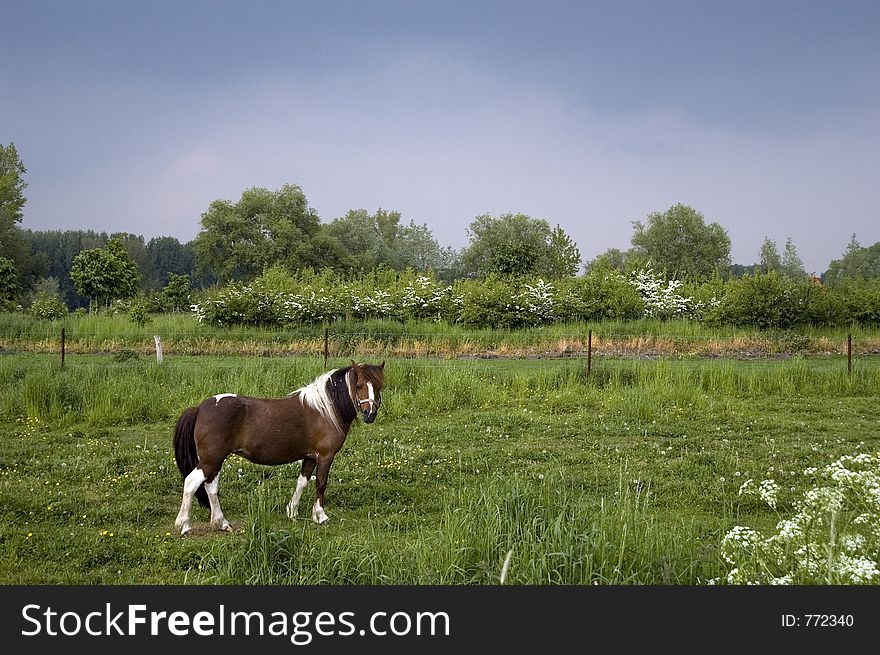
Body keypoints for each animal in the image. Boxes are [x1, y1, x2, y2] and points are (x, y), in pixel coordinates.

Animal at [175, 362, 384, 536]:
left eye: (379, 386)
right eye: (359, 386)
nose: (370, 414)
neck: (325, 410)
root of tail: (201, 408)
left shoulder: (310, 456)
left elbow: (302, 482)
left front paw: (292, 511)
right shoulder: (325, 455)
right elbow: (321, 484)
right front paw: (320, 516)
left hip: (215, 460)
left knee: (211, 487)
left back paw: (222, 523)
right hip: (211, 459)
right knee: (191, 483)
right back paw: (184, 525)